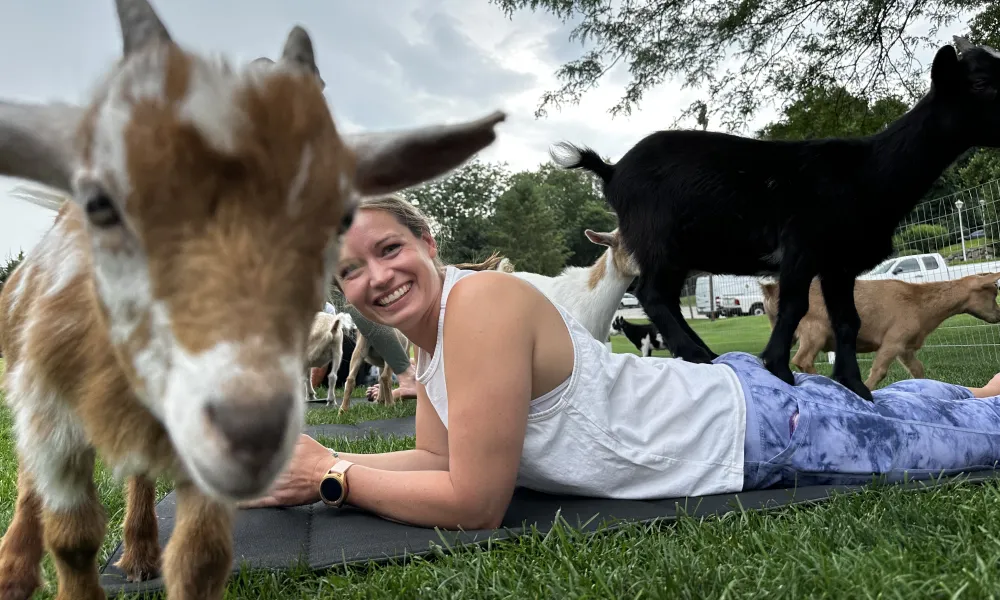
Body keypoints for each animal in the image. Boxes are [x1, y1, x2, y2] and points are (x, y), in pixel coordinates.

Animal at [0, 1, 508, 600]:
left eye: (341, 216)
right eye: (100, 202)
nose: (252, 432)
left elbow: (201, 557)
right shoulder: (50, 417)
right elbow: (72, 538)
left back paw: (141, 555)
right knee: (30, 486)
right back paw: (17, 569)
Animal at [756, 272, 1000, 390]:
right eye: (993, 292)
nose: (998, 316)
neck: (920, 303)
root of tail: (770, 290)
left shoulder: (905, 347)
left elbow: (917, 369)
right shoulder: (893, 340)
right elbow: (879, 370)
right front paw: (867, 390)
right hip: (814, 329)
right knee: (802, 358)